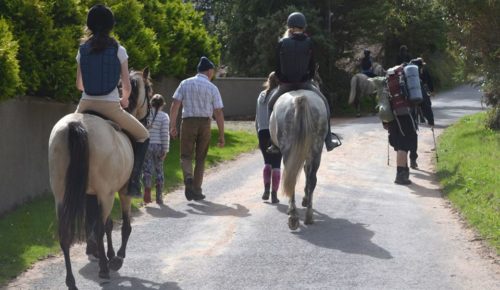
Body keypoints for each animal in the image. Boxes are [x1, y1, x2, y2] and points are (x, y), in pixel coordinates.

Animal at [48, 68, 151, 290]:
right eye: (149, 88)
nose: (148, 117)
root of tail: (76, 125)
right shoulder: (119, 192)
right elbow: (122, 226)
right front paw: (117, 257)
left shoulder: (92, 194)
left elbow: (100, 223)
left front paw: (103, 252)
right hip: (107, 194)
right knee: (102, 227)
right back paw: (104, 269)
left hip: (61, 195)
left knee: (65, 233)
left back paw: (71, 280)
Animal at [270, 89, 328, 230]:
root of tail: (300, 99)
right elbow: (307, 174)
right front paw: (305, 200)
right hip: (316, 151)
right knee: (311, 179)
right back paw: (308, 216)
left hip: (289, 151)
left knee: (292, 180)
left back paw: (293, 216)